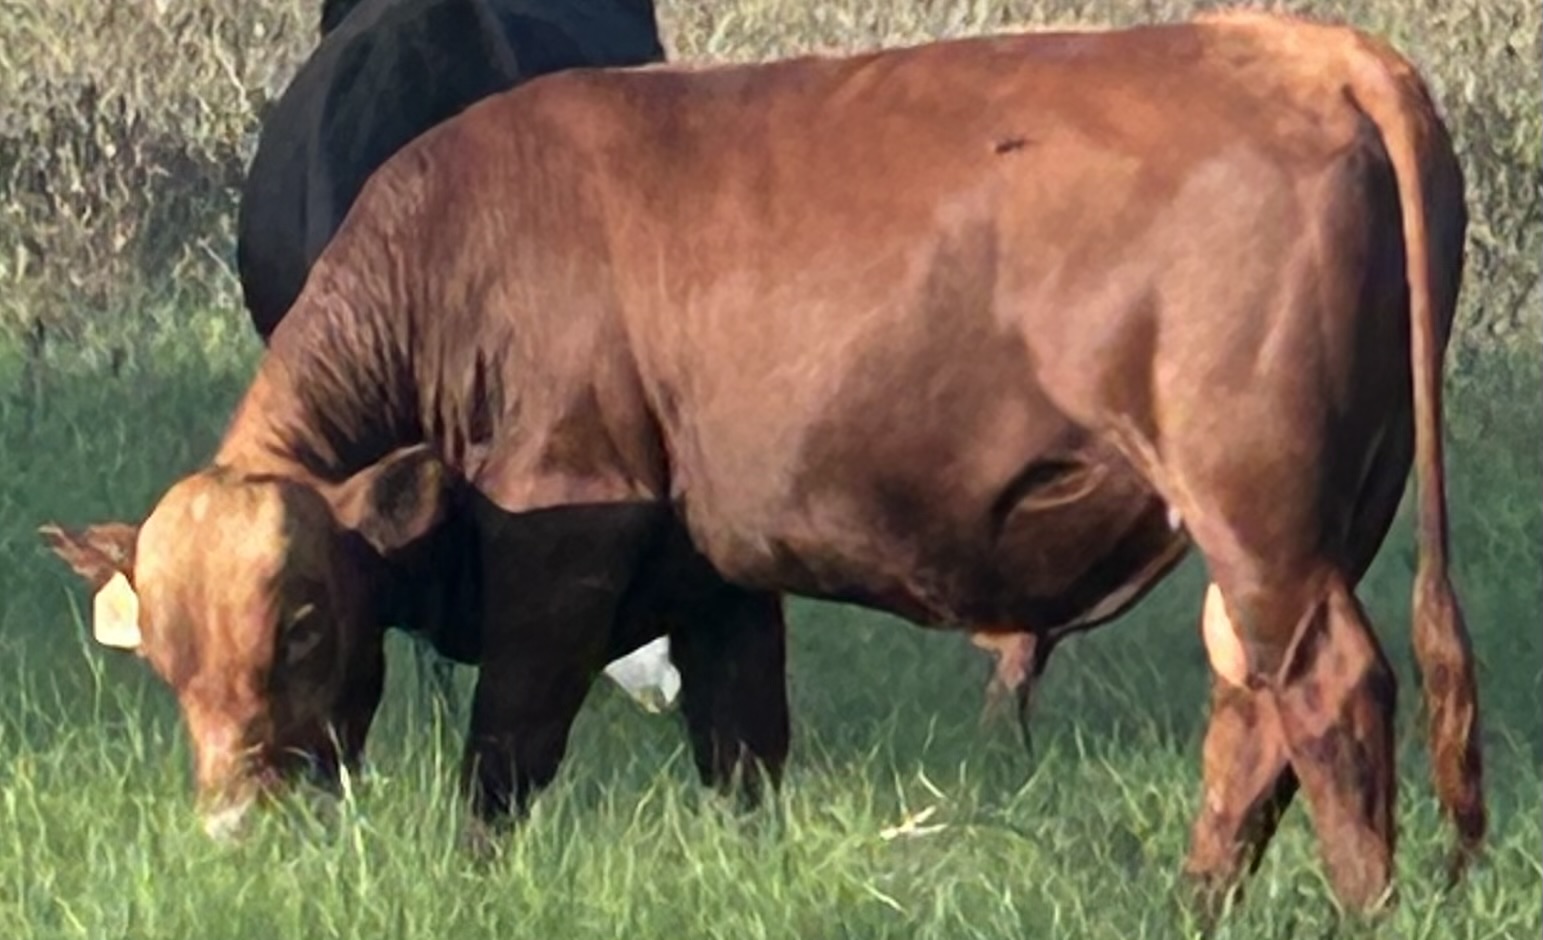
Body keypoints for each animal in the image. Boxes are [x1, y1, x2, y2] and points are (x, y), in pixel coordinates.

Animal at [42, 9, 1483, 915]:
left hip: (1263, 522)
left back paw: (1358, 906)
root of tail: (1315, 50)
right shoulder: (719, 580)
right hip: (1293, 535)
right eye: (160, 654)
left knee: (1329, 696)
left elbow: (504, 756)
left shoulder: (558, 556)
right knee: (1252, 713)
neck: (461, 264)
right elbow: (741, 754)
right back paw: (1195, 903)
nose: (231, 831)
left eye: (299, 623)